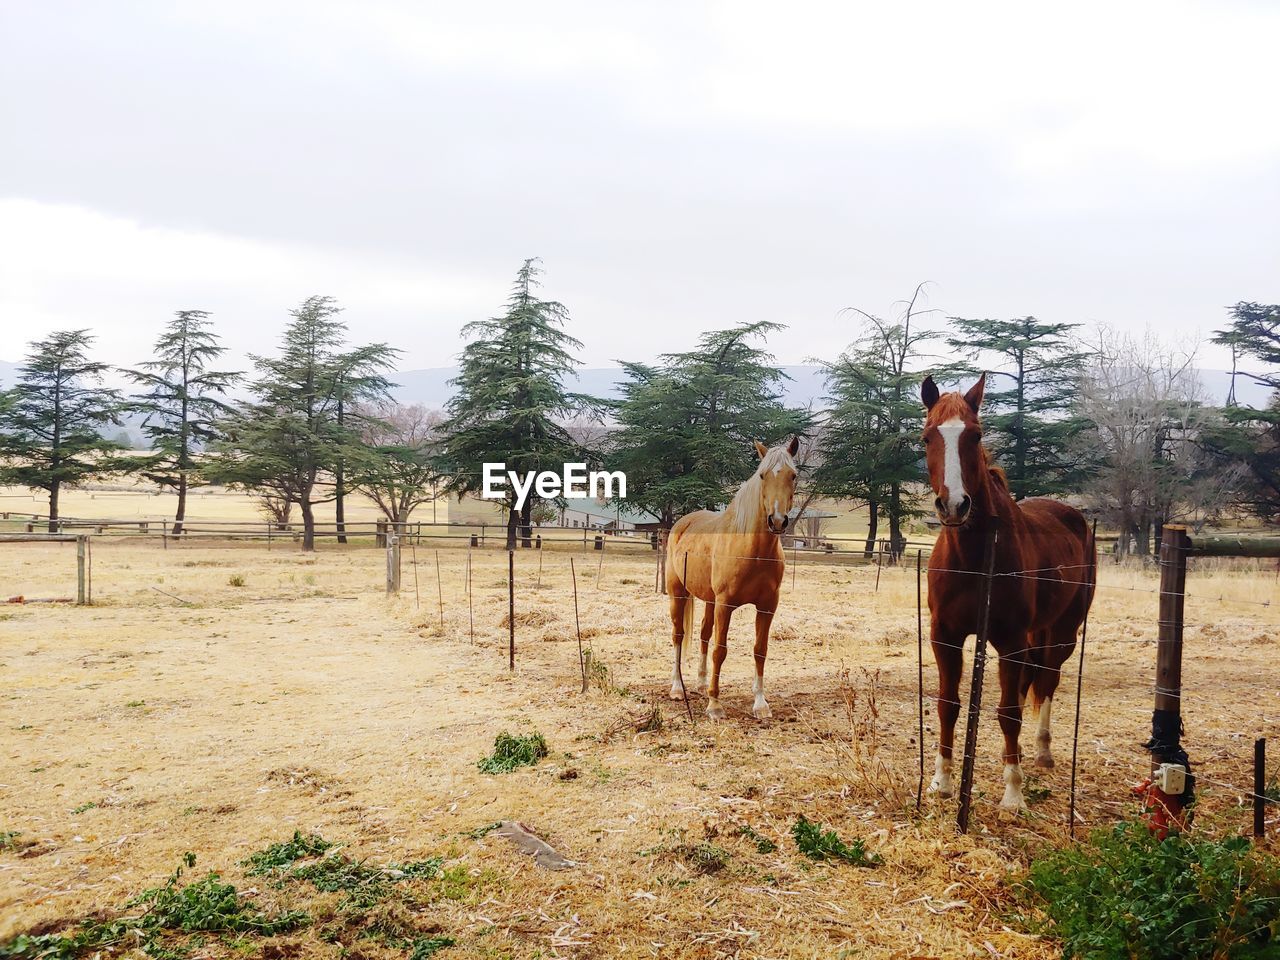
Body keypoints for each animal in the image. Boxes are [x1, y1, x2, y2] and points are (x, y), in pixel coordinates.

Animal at [665, 440, 793, 716]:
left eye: (793, 475)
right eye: (762, 475)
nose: (777, 521)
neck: (753, 551)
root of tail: (682, 523)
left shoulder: (767, 607)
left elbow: (760, 650)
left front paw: (760, 704)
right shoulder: (725, 605)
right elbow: (720, 650)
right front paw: (714, 704)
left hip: (709, 600)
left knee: (703, 633)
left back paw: (701, 684)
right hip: (677, 593)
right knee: (678, 635)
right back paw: (678, 688)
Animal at [921, 373, 1090, 814]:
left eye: (976, 435)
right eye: (927, 437)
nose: (954, 505)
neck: (976, 556)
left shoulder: (1010, 640)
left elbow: (1010, 712)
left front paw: (1013, 793)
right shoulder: (945, 636)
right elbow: (948, 704)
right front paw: (942, 781)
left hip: (1063, 633)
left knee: (1047, 681)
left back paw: (1041, 752)